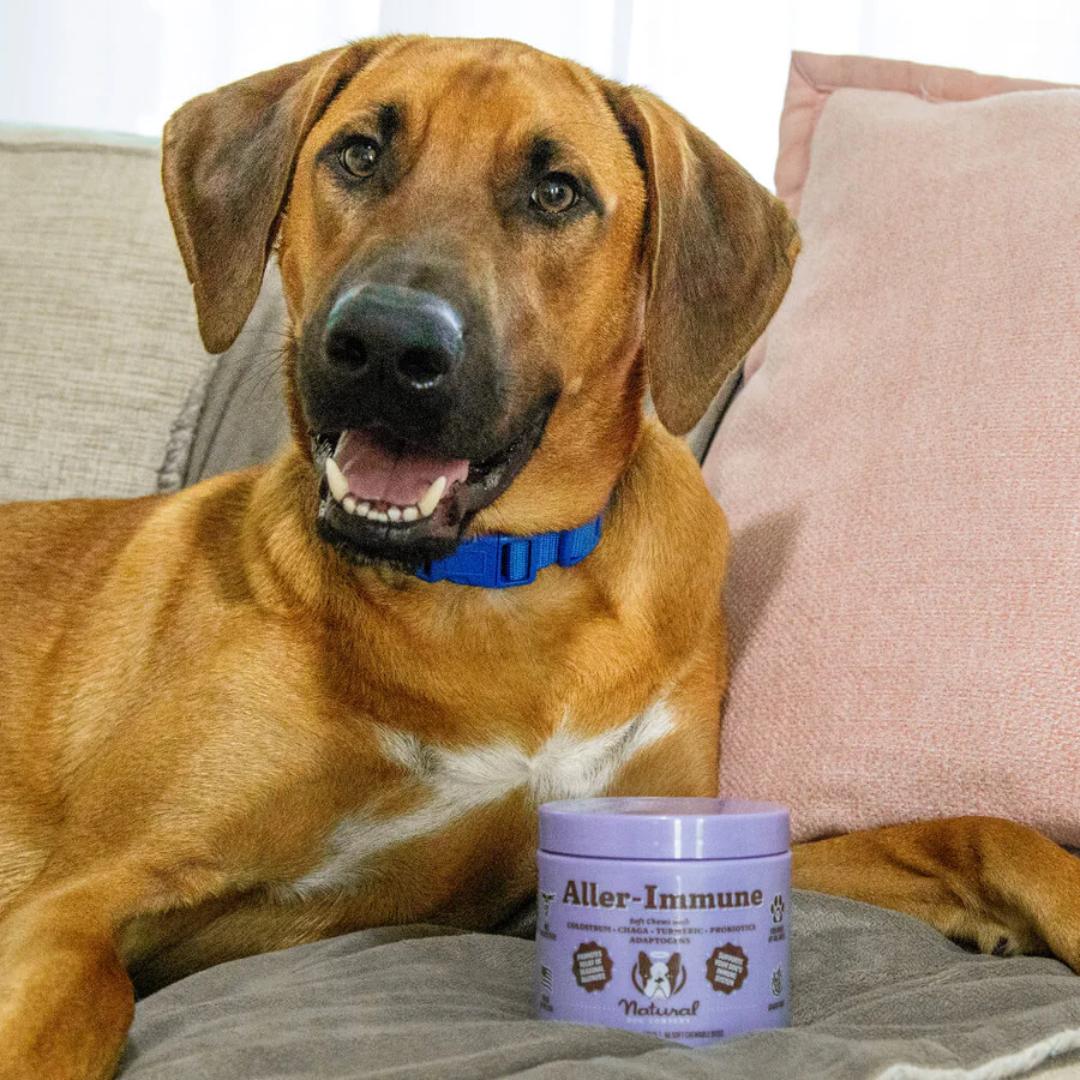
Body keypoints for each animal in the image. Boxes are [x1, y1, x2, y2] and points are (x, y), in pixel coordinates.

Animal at [2, 35, 1080, 1080]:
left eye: (556, 191)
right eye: (358, 153)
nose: (384, 345)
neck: (496, 587)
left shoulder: (658, 834)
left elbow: (962, 828)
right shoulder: (80, 899)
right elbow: (79, 1004)